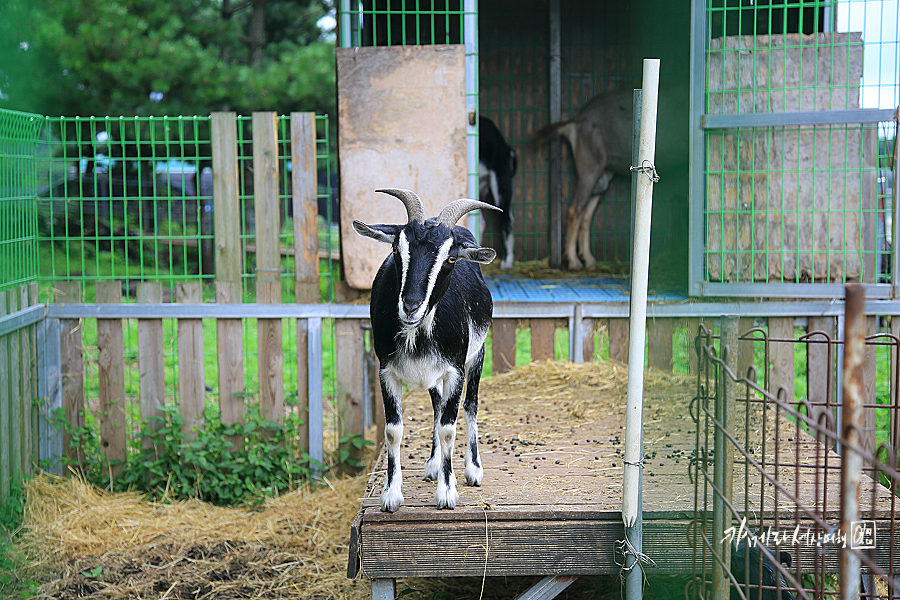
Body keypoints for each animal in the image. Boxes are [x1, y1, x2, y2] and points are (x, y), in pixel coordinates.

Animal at [352, 189, 500, 510]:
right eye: (396, 250)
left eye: (451, 258)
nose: (410, 306)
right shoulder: (386, 371)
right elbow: (393, 429)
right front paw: (391, 494)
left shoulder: (455, 370)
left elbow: (448, 427)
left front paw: (447, 493)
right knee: (437, 404)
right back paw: (433, 464)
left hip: (477, 355)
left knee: (470, 405)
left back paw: (472, 469)